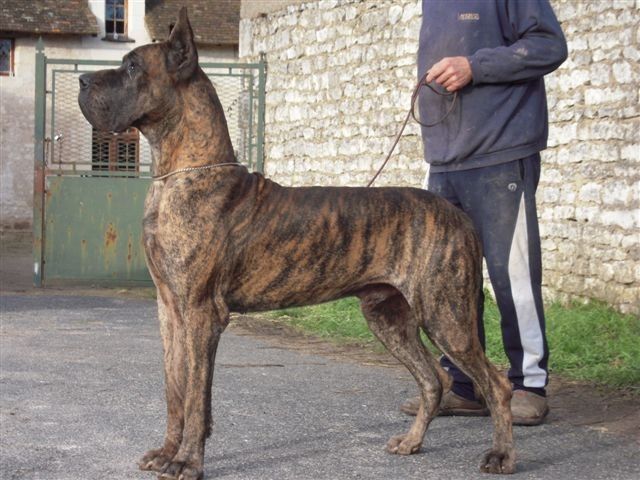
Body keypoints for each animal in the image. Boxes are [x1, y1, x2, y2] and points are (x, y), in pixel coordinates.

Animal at [78, 8, 514, 479]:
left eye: (132, 67)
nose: (82, 81)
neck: (181, 174)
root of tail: (460, 216)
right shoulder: (169, 308)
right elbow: (174, 388)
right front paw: (165, 452)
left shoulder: (200, 312)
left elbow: (196, 396)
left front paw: (187, 461)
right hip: (388, 315)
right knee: (434, 378)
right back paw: (412, 442)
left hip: (444, 312)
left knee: (496, 383)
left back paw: (502, 455)